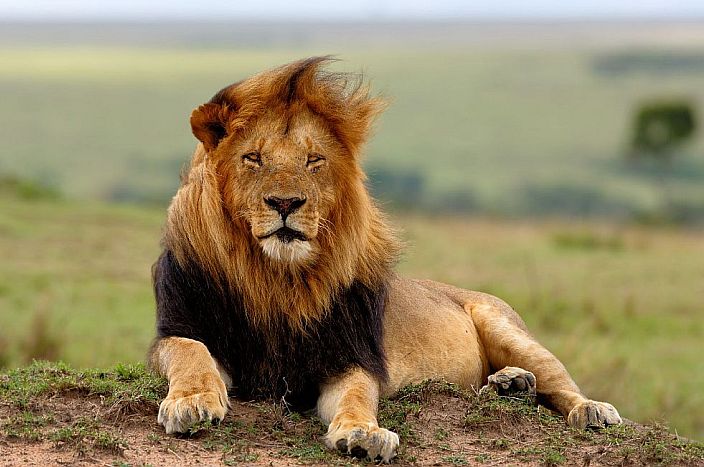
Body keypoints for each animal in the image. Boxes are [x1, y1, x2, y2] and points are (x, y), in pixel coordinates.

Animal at [149, 57, 621, 462]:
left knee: (560, 384)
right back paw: (511, 385)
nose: (285, 202)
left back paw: (587, 408)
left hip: (504, 323)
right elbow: (190, 351)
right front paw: (192, 401)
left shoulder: (350, 356)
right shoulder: (178, 330)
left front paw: (364, 433)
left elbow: (358, 395)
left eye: (314, 160)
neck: (275, 278)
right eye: (253, 158)